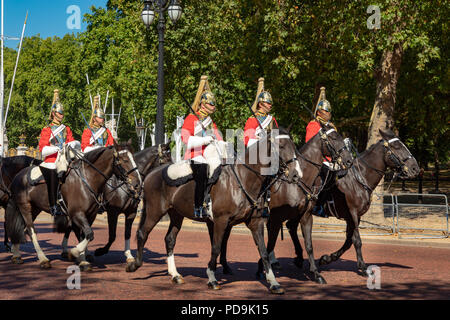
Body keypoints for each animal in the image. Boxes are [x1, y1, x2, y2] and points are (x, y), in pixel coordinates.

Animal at [4, 144, 140, 272]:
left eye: (133, 158)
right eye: (124, 159)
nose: (137, 183)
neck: (88, 179)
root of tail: (18, 175)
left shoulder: (91, 214)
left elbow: (84, 235)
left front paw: (82, 258)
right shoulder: (78, 213)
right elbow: (89, 234)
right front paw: (76, 254)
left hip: (35, 208)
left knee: (23, 228)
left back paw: (16, 254)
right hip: (25, 206)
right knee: (31, 229)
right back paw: (43, 259)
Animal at [127, 126, 302, 294]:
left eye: (294, 146)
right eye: (280, 145)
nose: (296, 174)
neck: (243, 180)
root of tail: (151, 174)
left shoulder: (255, 223)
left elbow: (263, 251)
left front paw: (273, 283)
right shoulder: (220, 221)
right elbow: (216, 247)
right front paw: (212, 278)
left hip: (176, 215)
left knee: (169, 239)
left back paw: (175, 275)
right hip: (155, 211)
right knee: (143, 233)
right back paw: (134, 264)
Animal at [213, 123, 354, 284]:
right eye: (333, 138)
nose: (349, 160)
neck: (298, 182)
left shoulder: (306, 216)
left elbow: (309, 245)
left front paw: (316, 273)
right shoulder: (275, 219)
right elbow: (269, 246)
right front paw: (262, 269)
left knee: (224, 238)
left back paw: (225, 266)